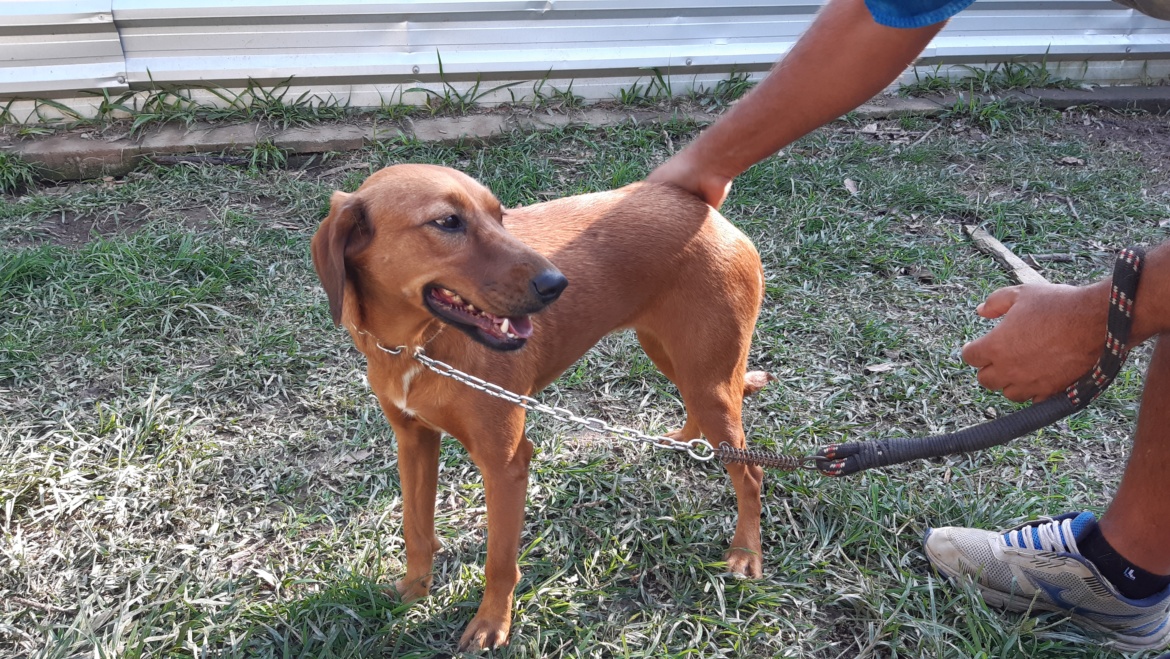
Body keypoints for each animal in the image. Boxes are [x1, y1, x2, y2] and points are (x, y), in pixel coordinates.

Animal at [311, 164, 769, 651]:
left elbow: (499, 561)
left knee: (750, 472)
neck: (416, 347)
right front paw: (414, 591)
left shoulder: (506, 464)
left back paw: (745, 552)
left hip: (708, 376)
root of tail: (696, 204)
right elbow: (415, 528)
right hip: (673, 356)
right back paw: (686, 441)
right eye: (448, 222)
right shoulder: (413, 439)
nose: (557, 284)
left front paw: (492, 622)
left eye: (500, 215)